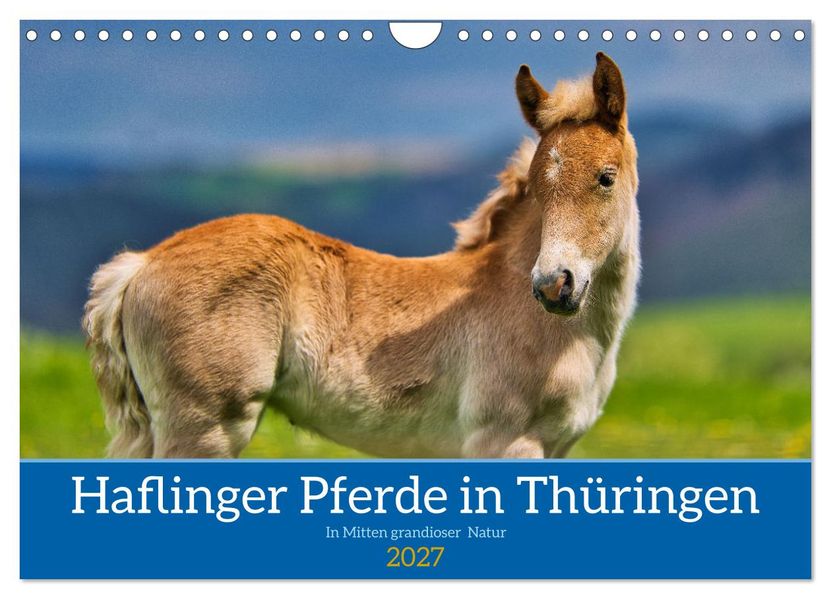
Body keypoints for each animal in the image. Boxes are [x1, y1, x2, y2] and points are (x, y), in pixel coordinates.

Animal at [84, 52, 640, 459]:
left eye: (605, 178)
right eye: (539, 189)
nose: (553, 285)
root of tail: (141, 264)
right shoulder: (505, 444)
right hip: (205, 432)